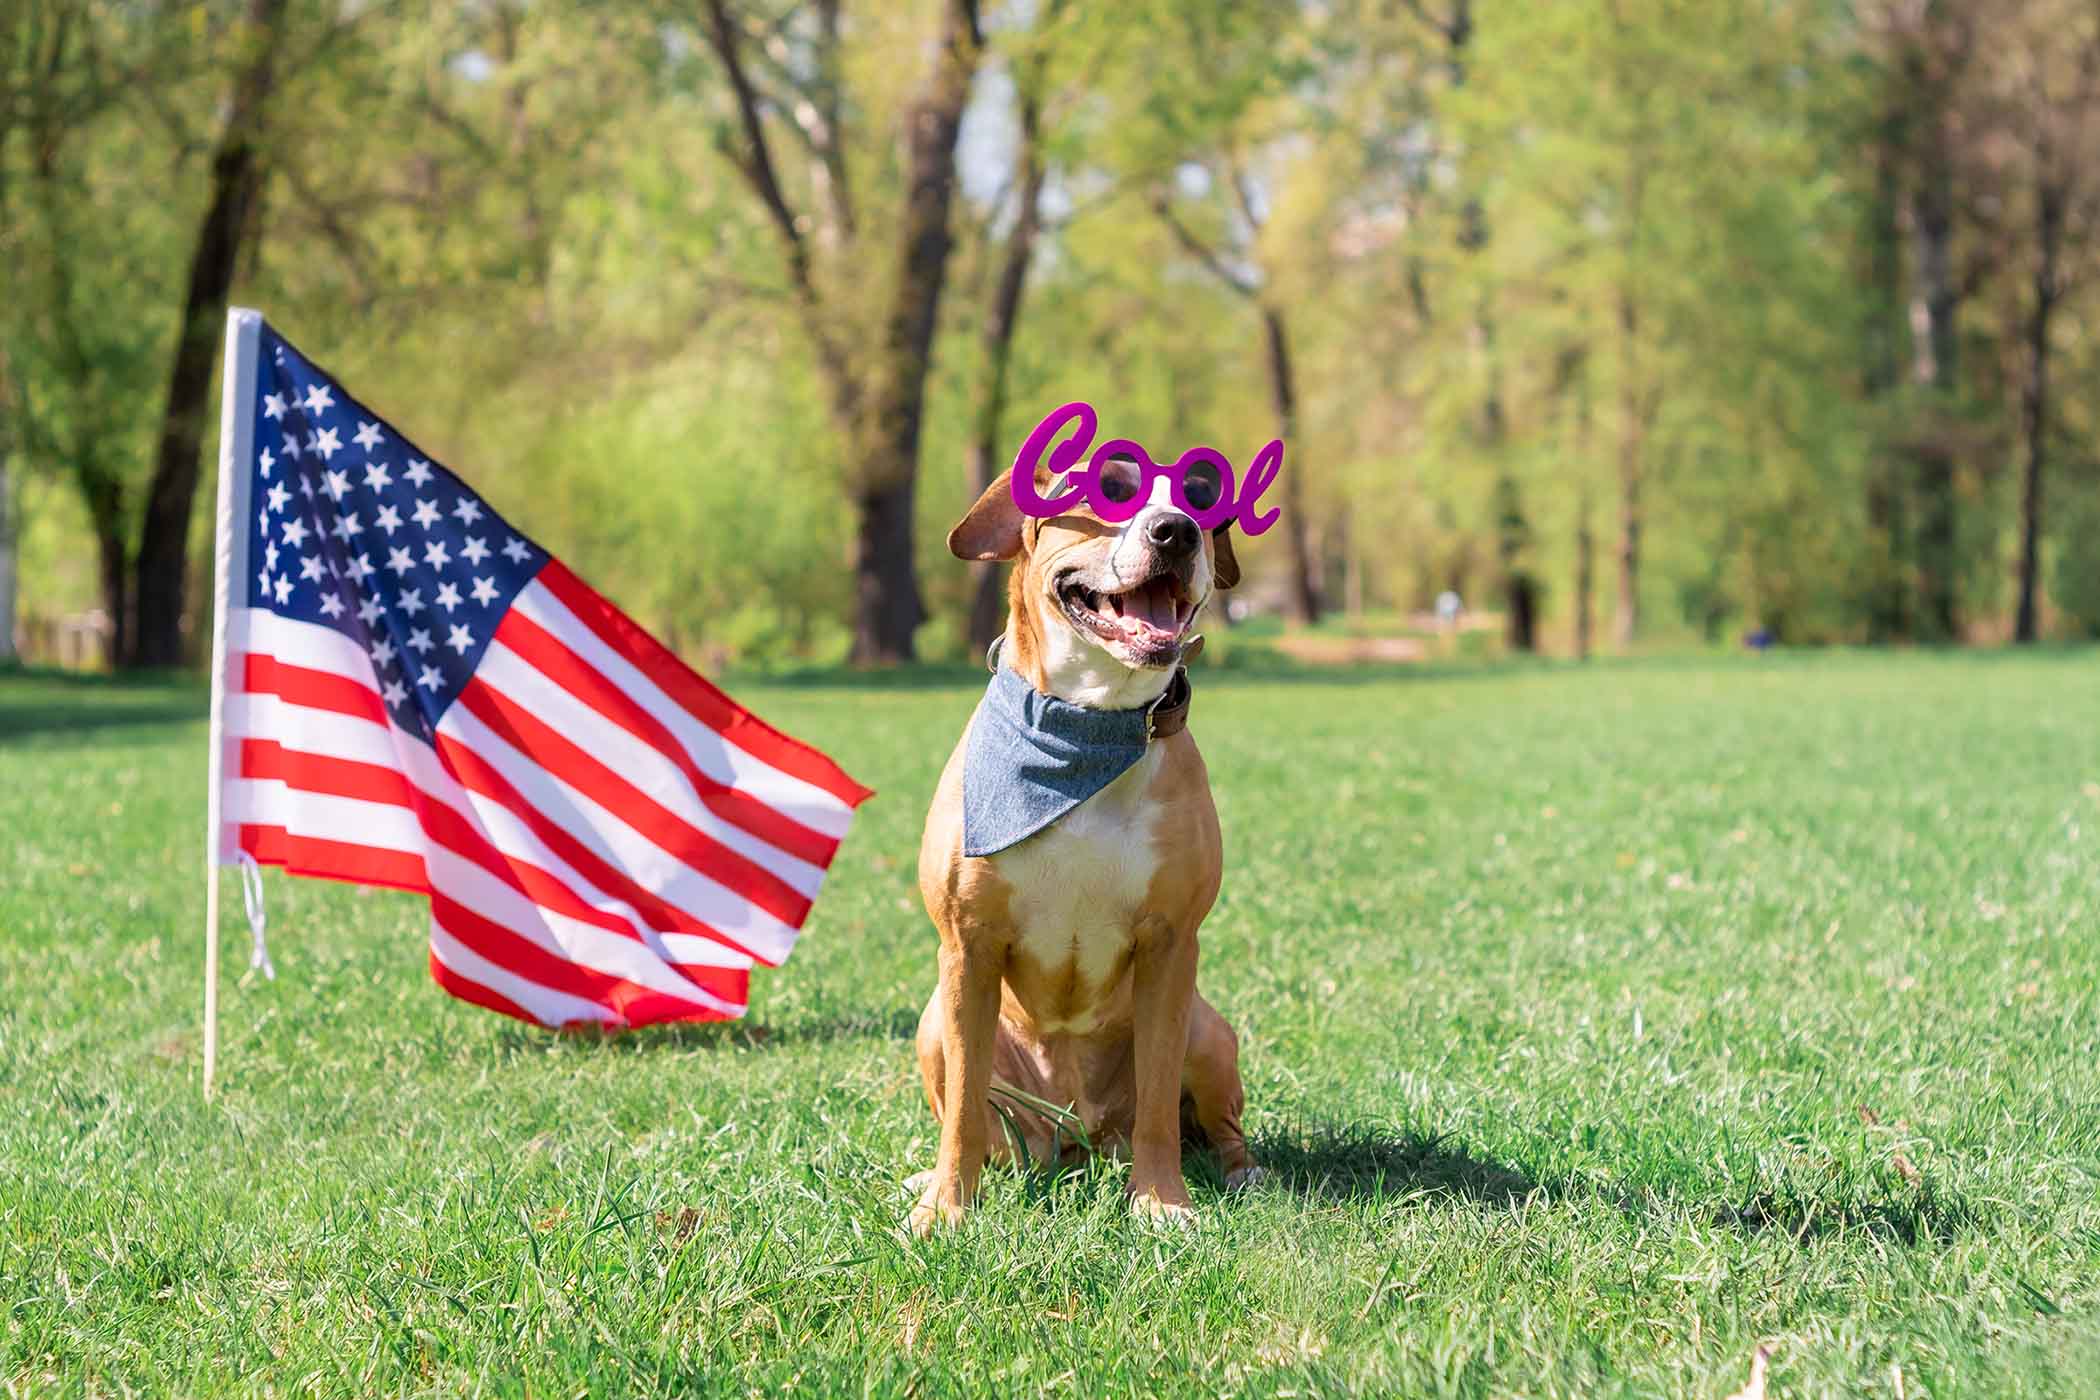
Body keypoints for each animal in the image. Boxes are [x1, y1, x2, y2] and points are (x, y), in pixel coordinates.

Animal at [907, 455, 1260, 1234]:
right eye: (1112, 486)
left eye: (1201, 496)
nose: (1176, 531)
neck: (1087, 727)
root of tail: (1078, 1137)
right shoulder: (967, 945)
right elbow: (963, 1111)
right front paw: (947, 1206)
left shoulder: (1170, 946)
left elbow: (1159, 1102)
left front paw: (1161, 1202)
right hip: (932, 1025)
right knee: (980, 1122)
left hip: (1208, 1031)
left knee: (1218, 1124)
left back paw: (1242, 1172)